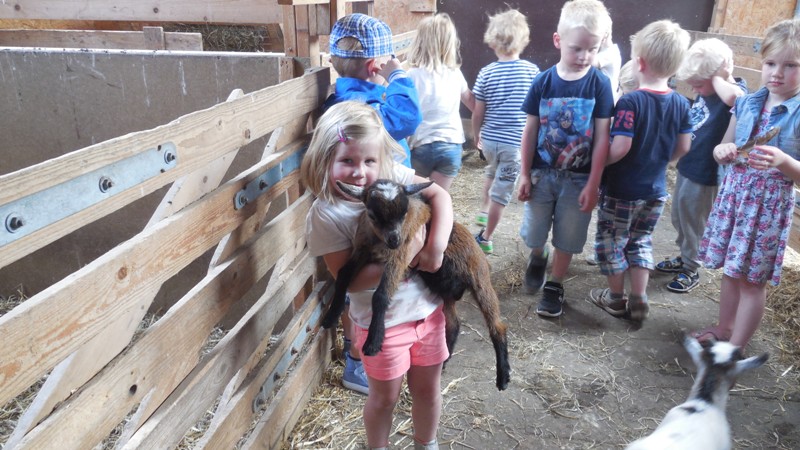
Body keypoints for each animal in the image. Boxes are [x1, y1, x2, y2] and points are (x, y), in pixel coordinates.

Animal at [320, 179, 511, 391]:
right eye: (373, 215)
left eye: (404, 213)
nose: (394, 239)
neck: (378, 240)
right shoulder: (363, 250)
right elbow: (343, 274)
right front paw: (330, 316)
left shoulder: (402, 255)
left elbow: (380, 295)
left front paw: (374, 341)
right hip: (446, 293)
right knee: (453, 324)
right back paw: (444, 361)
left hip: (479, 278)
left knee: (497, 325)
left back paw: (503, 376)